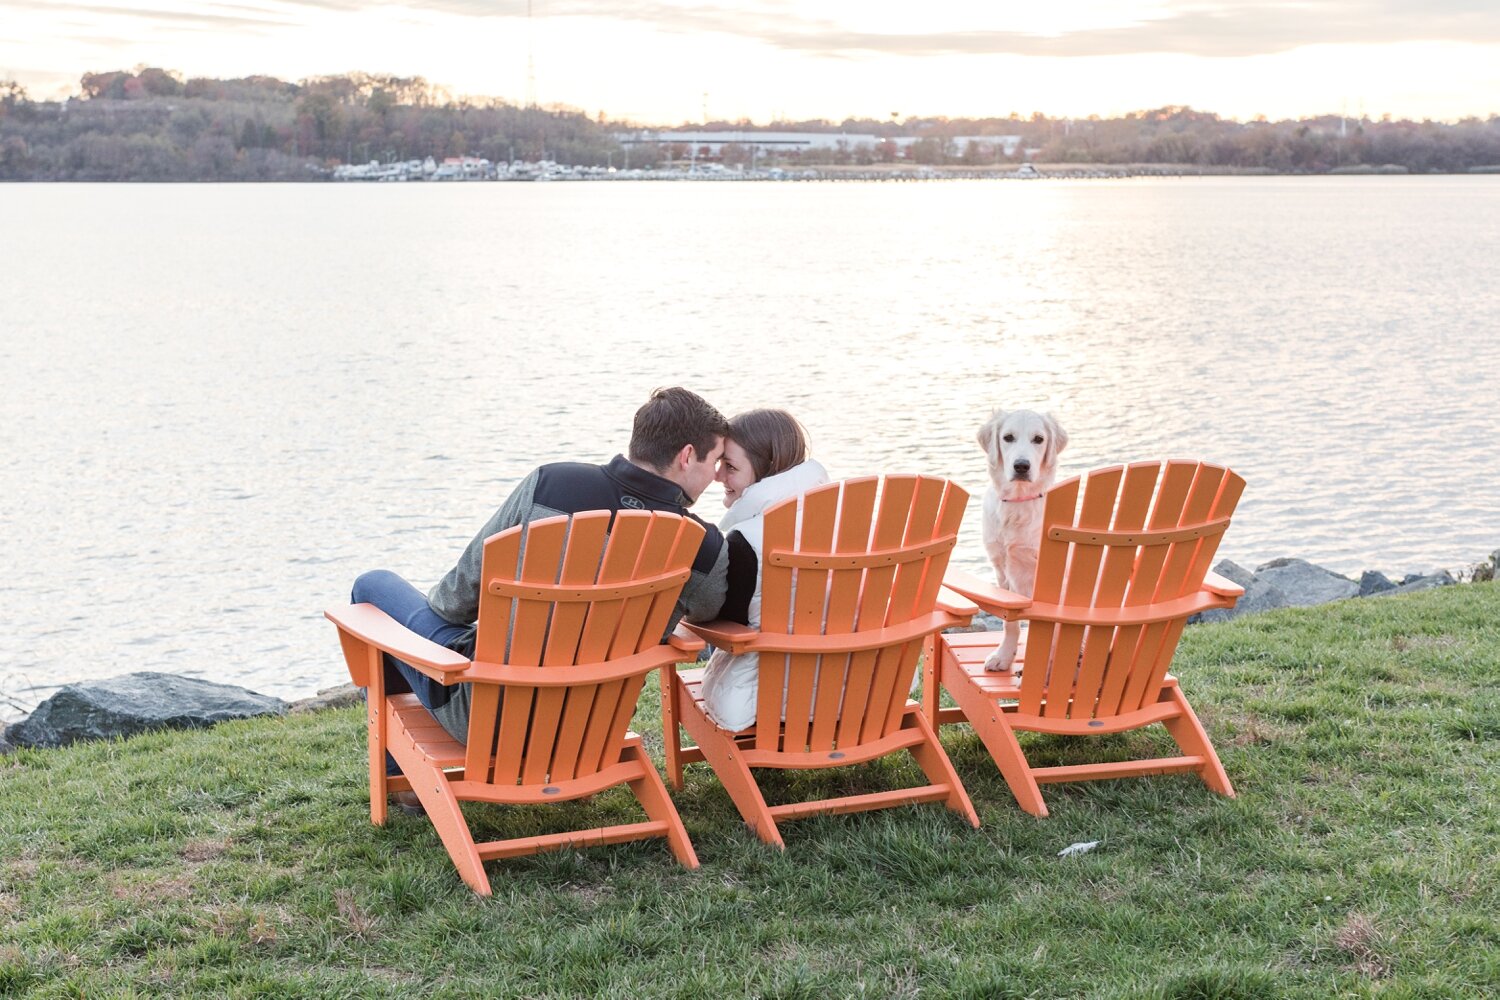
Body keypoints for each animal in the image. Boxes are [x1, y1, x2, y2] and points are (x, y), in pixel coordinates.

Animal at [978, 407, 1074, 671]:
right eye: (1008, 437)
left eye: (1038, 439)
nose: (1021, 466)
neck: (1019, 504)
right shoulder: (1002, 568)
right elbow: (1009, 622)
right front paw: (1003, 656)